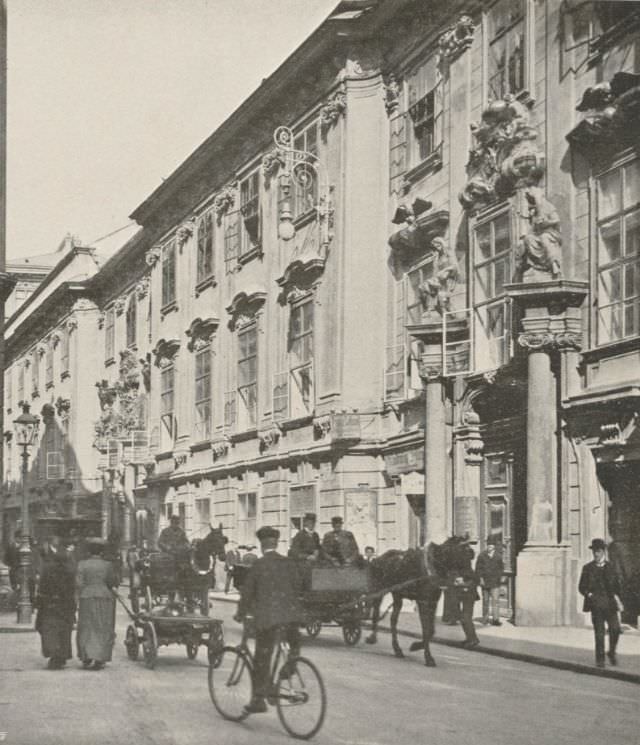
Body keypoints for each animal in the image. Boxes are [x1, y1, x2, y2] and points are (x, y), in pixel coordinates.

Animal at [364, 536, 470, 664]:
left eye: (471, 554)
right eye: (461, 553)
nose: (470, 578)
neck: (433, 564)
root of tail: (377, 558)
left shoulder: (433, 602)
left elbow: (431, 630)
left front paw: (416, 646)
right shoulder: (422, 601)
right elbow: (425, 629)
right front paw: (428, 657)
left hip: (397, 595)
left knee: (393, 620)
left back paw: (397, 649)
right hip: (379, 590)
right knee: (375, 613)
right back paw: (373, 638)